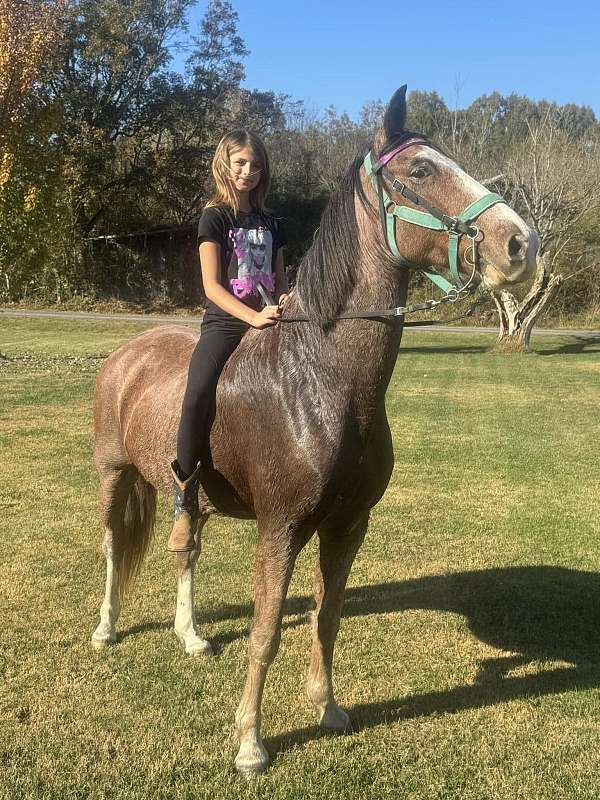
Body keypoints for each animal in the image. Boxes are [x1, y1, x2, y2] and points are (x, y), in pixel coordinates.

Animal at [90, 87, 540, 776]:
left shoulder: (348, 526)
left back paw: (191, 635)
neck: (319, 382)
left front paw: (327, 707)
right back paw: (107, 628)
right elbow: (266, 631)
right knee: (114, 545)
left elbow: (327, 618)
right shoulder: (280, 528)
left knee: (185, 550)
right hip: (114, 475)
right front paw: (251, 742)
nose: (521, 244)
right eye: (420, 170)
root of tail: (124, 355)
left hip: (192, 496)